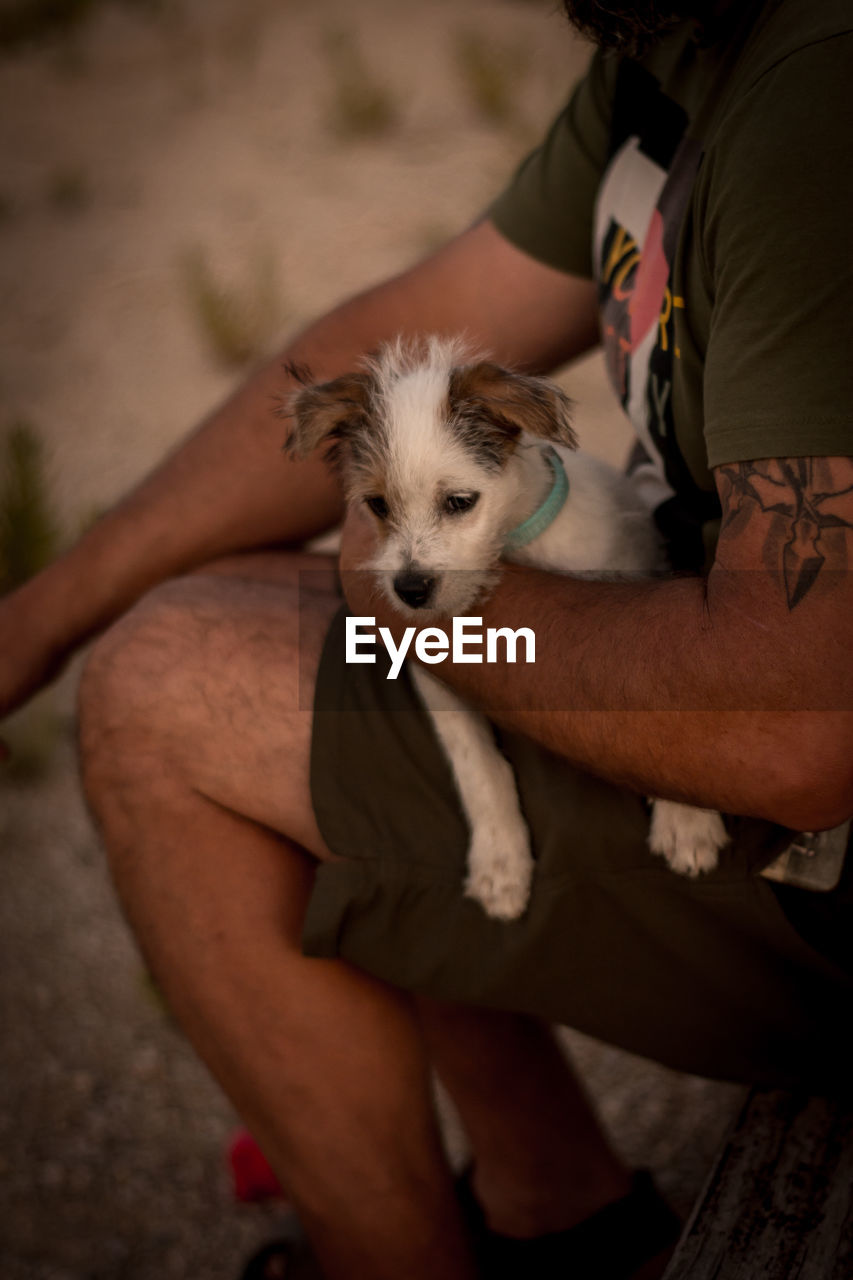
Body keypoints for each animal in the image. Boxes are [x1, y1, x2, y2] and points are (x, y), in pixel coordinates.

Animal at [280, 337, 722, 921]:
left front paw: (687, 821)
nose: (410, 590)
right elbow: (478, 767)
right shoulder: (436, 676)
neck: (509, 549)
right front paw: (499, 862)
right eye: (377, 505)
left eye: (459, 502)